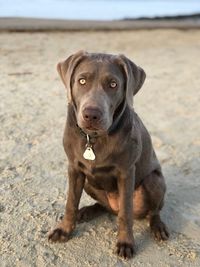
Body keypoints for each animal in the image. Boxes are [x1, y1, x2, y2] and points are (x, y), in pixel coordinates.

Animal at [48, 50, 169, 260]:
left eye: (113, 84)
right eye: (82, 81)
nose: (91, 114)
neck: (93, 139)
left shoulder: (126, 173)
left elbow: (125, 214)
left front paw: (125, 242)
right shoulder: (74, 169)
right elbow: (70, 203)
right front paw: (64, 230)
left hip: (154, 180)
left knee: (150, 211)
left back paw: (158, 227)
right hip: (89, 182)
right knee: (104, 207)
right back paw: (86, 211)